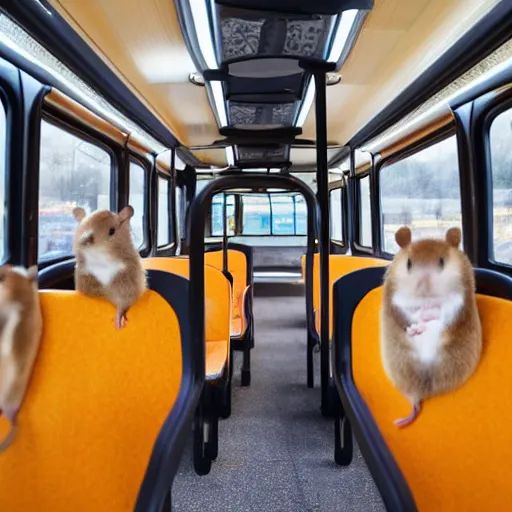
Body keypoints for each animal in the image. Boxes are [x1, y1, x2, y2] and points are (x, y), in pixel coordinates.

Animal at [380, 228, 484, 428]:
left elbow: (444, 313)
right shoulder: (398, 301)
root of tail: (419, 393)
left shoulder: (457, 302)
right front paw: (417, 320)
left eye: (442, 262)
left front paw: (427, 316)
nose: (424, 285)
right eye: (409, 263)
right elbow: (407, 311)